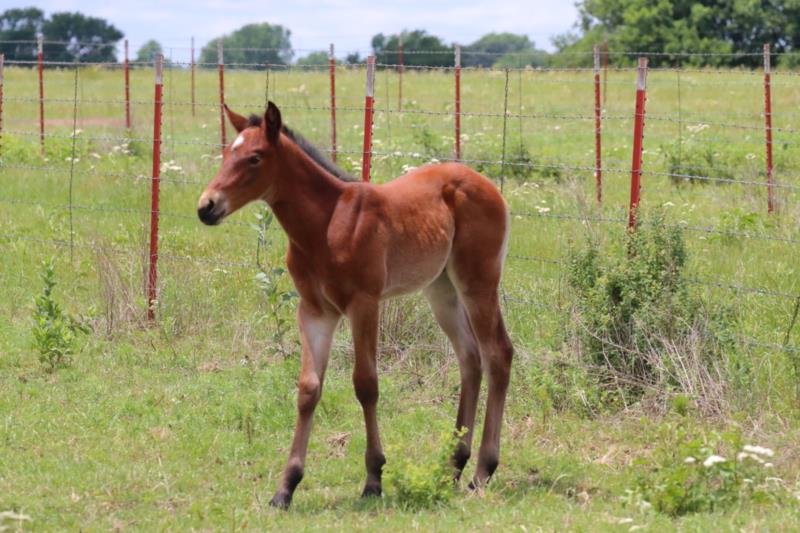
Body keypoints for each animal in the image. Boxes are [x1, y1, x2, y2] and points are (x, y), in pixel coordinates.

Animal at [198, 102, 514, 509]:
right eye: (226, 153)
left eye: (255, 157)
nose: (207, 207)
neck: (326, 223)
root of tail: (487, 184)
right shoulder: (315, 311)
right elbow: (308, 389)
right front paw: (286, 487)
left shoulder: (364, 303)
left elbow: (366, 384)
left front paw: (374, 478)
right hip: (441, 289)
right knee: (470, 358)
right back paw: (453, 465)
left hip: (478, 283)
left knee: (497, 353)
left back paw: (482, 471)